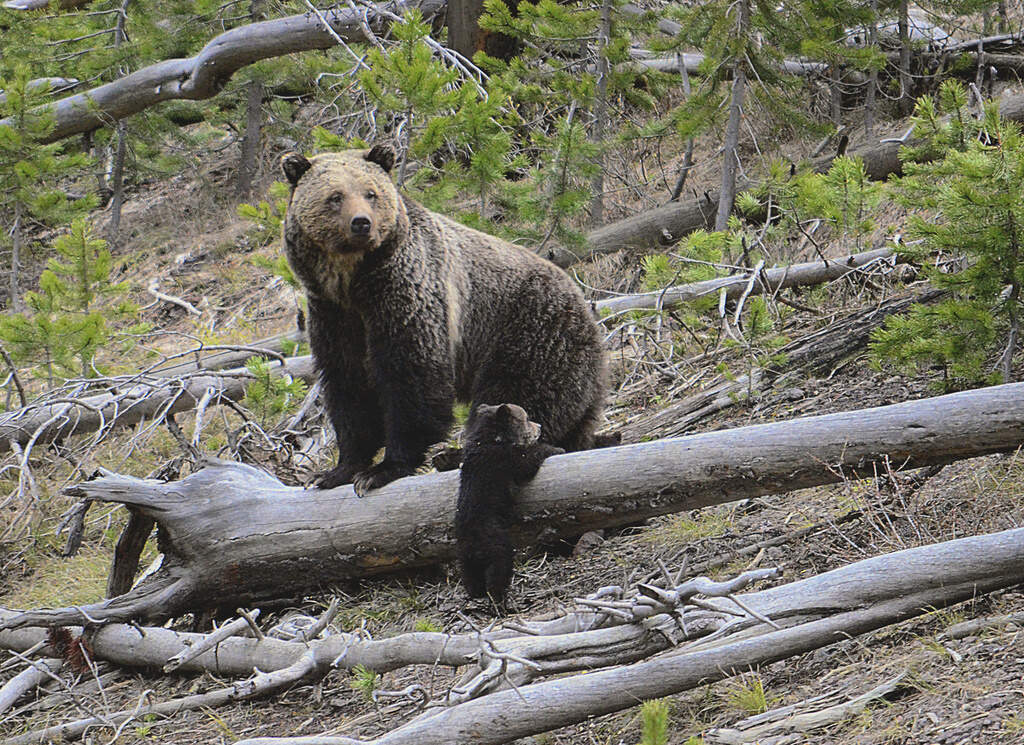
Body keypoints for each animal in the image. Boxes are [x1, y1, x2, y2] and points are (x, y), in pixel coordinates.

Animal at [280, 145, 607, 496]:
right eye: (335, 196)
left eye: (370, 193)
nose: (361, 223)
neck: (352, 282)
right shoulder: (333, 315)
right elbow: (348, 386)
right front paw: (335, 471)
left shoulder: (407, 293)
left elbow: (412, 376)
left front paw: (383, 469)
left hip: (531, 330)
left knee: (517, 396)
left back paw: (459, 453)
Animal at [455, 403, 563, 600]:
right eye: (526, 418)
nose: (540, 427)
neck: (493, 439)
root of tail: (473, 545)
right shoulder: (506, 459)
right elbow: (527, 461)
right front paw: (556, 448)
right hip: (496, 544)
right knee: (499, 570)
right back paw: (500, 597)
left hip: (464, 557)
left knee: (471, 578)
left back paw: (476, 593)